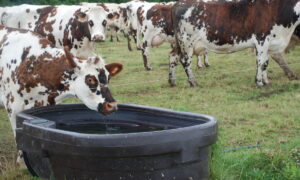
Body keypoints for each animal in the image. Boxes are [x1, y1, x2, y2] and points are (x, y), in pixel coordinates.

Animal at [171, 0, 300, 87]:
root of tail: (178, 3)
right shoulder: (262, 40)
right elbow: (260, 62)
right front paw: (259, 83)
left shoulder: (270, 44)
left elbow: (265, 63)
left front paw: (266, 81)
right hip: (187, 42)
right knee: (185, 61)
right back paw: (193, 82)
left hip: (179, 43)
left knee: (173, 56)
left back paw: (172, 81)